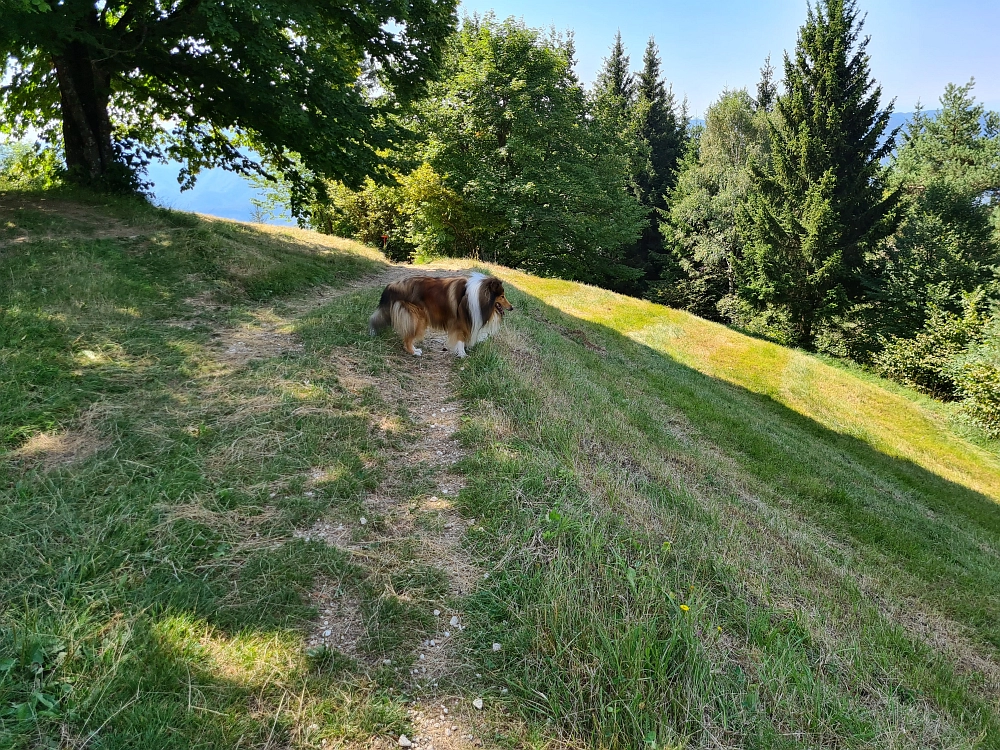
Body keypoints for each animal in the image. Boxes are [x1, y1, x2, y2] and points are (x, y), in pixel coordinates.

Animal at [370, 274, 516, 358]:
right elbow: (460, 339)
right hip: (418, 317)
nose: (512, 308)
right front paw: (462, 354)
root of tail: (392, 285)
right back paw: (413, 352)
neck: (479, 298)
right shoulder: (460, 322)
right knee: (407, 339)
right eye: (502, 296)